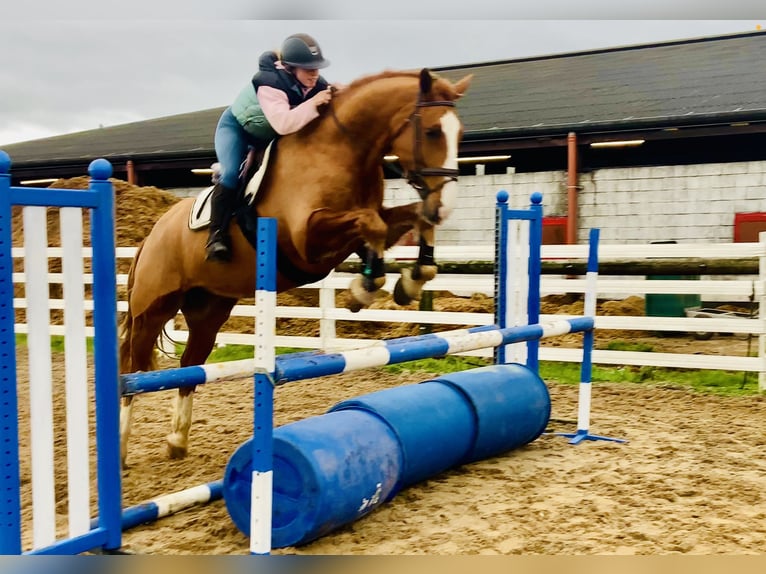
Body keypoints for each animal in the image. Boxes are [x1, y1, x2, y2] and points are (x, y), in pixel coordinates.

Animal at [118, 68, 473, 468]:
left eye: (460, 133)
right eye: (431, 131)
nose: (445, 206)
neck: (342, 149)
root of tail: (152, 234)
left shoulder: (363, 223)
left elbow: (404, 221)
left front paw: (410, 280)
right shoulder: (309, 239)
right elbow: (373, 225)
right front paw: (365, 288)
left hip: (208, 310)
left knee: (190, 364)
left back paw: (177, 440)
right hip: (153, 308)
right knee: (132, 370)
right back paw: (121, 447)